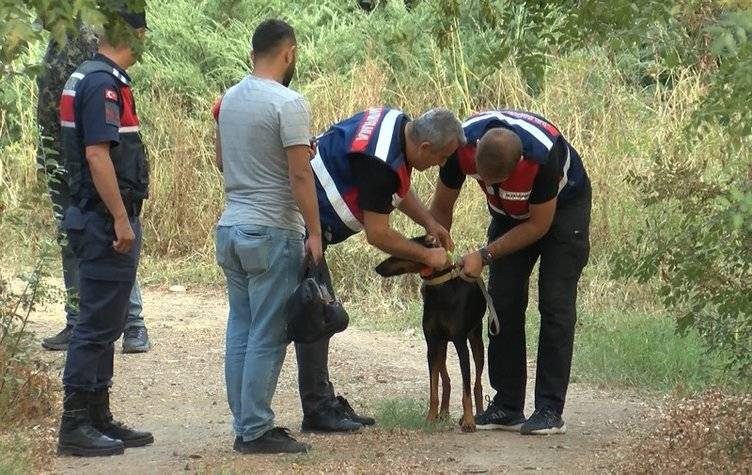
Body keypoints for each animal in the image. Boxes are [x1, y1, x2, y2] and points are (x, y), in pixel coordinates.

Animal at [376, 237, 488, 432]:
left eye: (400, 252)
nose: (377, 268)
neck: (440, 288)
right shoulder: (431, 343)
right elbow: (433, 389)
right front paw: (430, 418)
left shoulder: (461, 344)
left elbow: (466, 389)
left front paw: (468, 420)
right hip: (441, 346)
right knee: (447, 380)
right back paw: (443, 413)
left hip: (476, 341)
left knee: (477, 383)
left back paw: (478, 414)